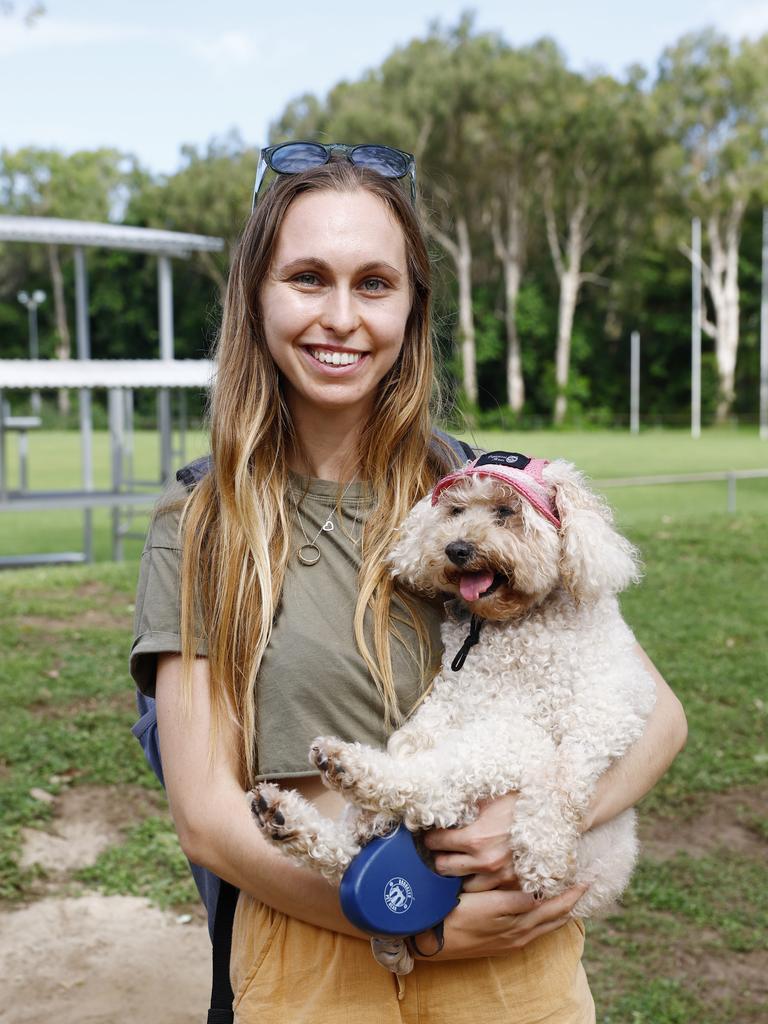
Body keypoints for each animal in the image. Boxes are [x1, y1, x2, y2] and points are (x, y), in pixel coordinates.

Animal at [252, 452, 655, 970]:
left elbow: (563, 777)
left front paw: (542, 852)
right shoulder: (453, 702)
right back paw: (298, 813)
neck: (515, 628)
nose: (458, 549)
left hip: (513, 743)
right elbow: (411, 739)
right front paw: (369, 809)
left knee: (431, 790)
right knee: (368, 835)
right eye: (456, 511)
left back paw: (342, 777)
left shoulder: (604, 712)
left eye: (505, 512)